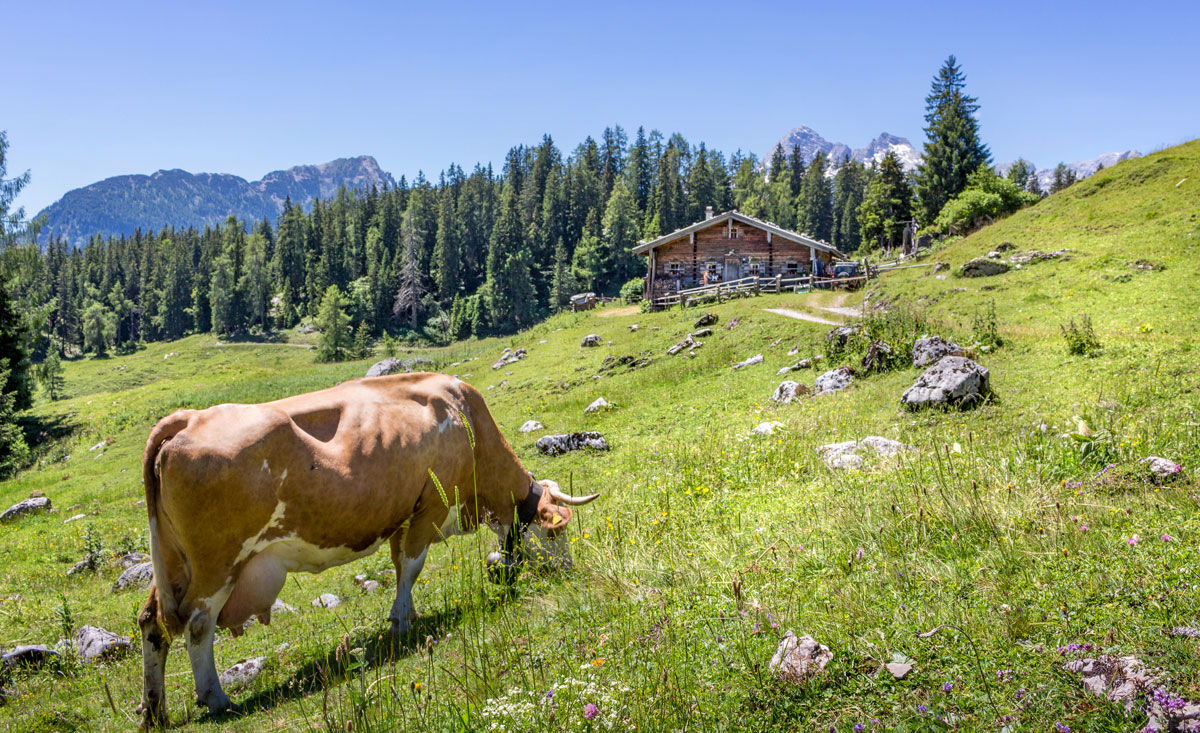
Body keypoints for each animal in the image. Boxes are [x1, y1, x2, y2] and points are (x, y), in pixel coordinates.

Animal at [135, 371, 595, 729]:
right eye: (556, 534)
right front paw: (402, 621)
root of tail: (189, 417)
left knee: (152, 622)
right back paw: (215, 697)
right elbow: (410, 567)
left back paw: (155, 709)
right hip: (217, 562)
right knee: (198, 624)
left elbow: (400, 565)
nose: (568, 572)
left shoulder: (402, 517)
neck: (467, 423)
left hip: (174, 563)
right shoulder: (430, 507)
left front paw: (407, 616)